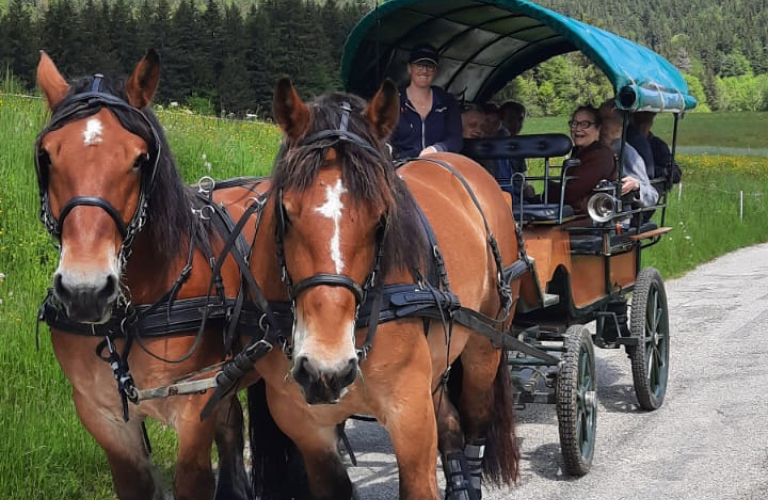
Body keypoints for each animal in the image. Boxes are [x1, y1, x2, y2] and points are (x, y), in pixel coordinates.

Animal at [35, 48, 264, 498]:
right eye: (48, 156)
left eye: (139, 159)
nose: (85, 290)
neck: (132, 316)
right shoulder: (103, 416)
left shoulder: (195, 405)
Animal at [246, 79, 520, 500]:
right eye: (285, 213)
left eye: (381, 218)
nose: (327, 367)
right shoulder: (307, 426)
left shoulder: (410, 417)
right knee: (451, 424)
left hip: (485, 346)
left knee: (474, 423)